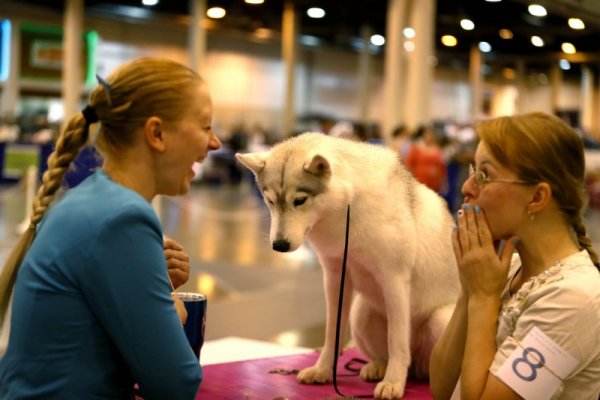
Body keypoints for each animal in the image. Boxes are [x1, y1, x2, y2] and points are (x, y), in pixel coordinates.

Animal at [236, 133, 460, 398]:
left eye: (299, 200)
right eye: (270, 201)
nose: (279, 245)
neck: (345, 210)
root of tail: (416, 367)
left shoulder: (394, 280)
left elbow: (396, 340)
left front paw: (393, 382)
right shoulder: (335, 277)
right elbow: (332, 334)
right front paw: (323, 370)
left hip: (439, 320)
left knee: (416, 358)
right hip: (360, 314)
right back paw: (376, 367)